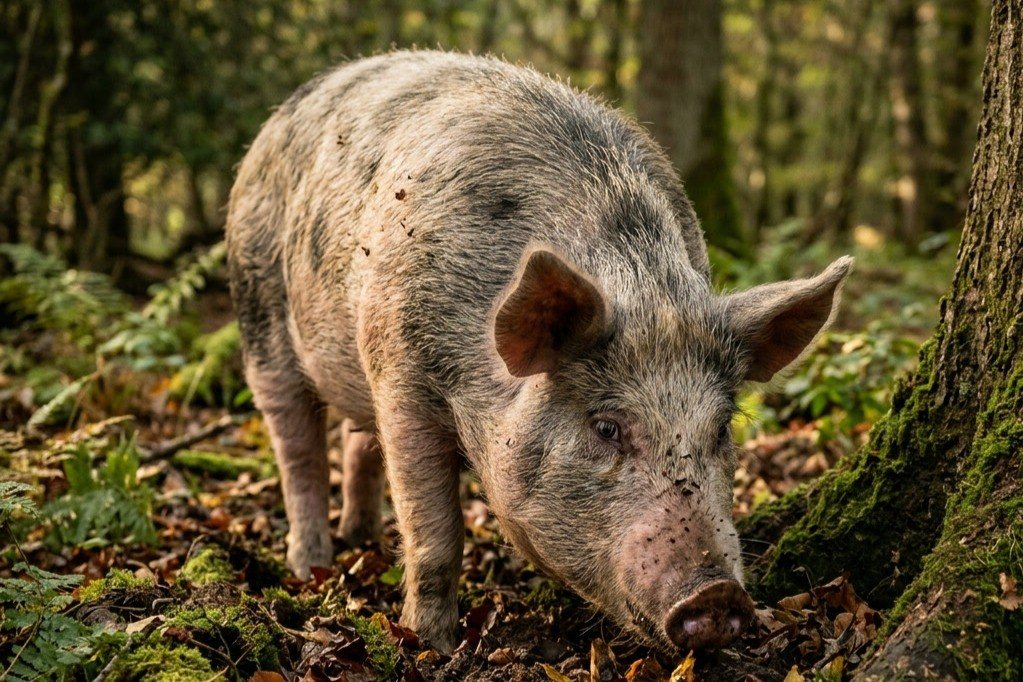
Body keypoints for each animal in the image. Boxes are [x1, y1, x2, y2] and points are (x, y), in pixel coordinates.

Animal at [226, 50, 852, 654]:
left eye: (721, 429)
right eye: (606, 427)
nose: (718, 596)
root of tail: (281, 116)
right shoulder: (402, 375)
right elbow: (435, 533)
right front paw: (430, 646)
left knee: (357, 441)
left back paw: (362, 538)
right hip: (259, 309)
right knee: (297, 449)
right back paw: (312, 564)